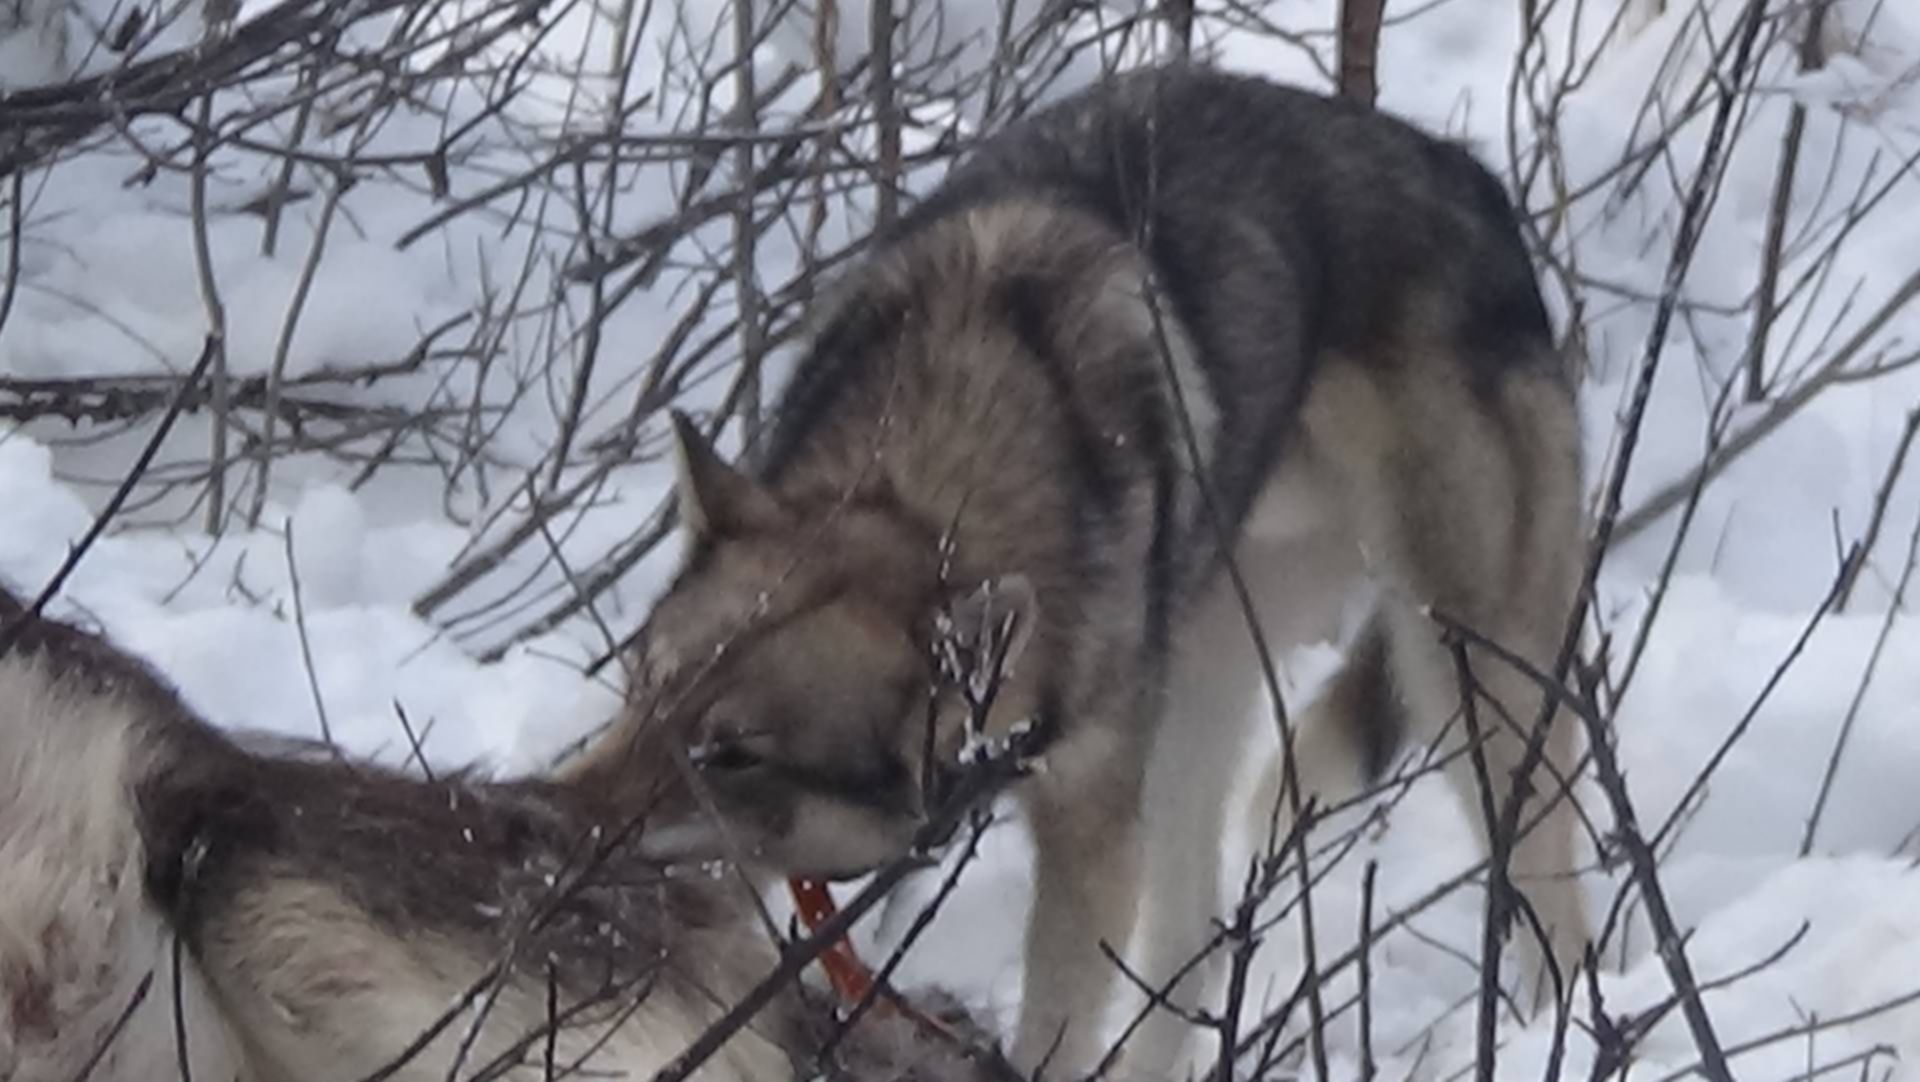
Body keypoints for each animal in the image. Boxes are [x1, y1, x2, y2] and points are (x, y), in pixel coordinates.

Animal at [587, 67, 1589, 1082]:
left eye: (733, 753)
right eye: (640, 686)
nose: (562, 823)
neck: (928, 485)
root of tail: (1469, 173)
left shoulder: (1089, 830)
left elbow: (1054, 1028)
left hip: (1467, 679)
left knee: (1559, 906)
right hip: (1208, 683)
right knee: (1191, 944)